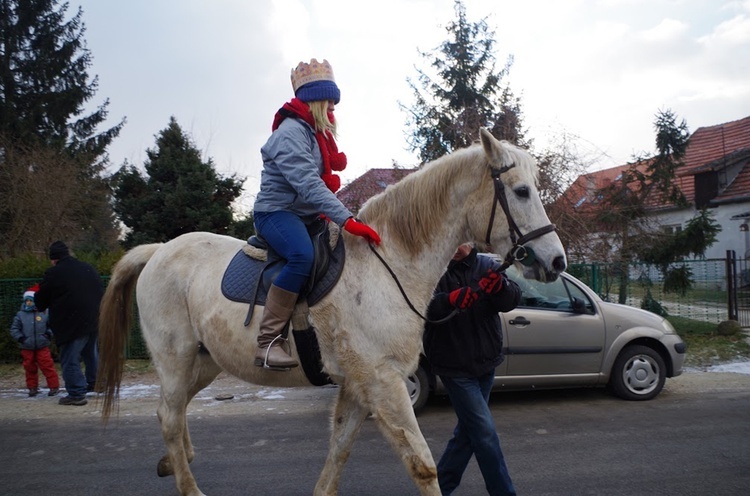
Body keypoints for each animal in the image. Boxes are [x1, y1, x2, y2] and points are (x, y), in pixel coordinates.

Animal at [97, 129, 568, 496]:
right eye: (521, 191)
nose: (556, 260)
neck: (388, 263)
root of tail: (159, 250)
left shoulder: (359, 387)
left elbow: (339, 449)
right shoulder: (384, 382)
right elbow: (422, 466)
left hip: (205, 361)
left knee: (173, 414)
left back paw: (174, 461)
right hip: (176, 359)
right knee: (169, 416)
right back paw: (188, 484)